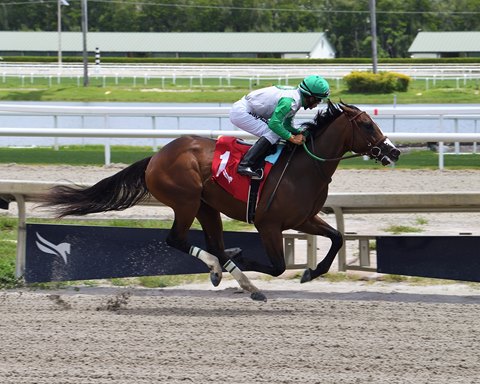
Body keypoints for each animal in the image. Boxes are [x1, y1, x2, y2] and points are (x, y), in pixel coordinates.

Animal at [42, 100, 402, 302]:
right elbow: (277, 266)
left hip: (206, 206)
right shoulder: (268, 224)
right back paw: (223, 268)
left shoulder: (303, 219)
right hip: (185, 202)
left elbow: (337, 238)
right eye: (367, 124)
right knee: (177, 239)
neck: (305, 168)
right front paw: (240, 257)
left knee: (211, 242)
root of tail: (156, 157)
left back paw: (235, 275)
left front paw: (312, 273)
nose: (394, 151)